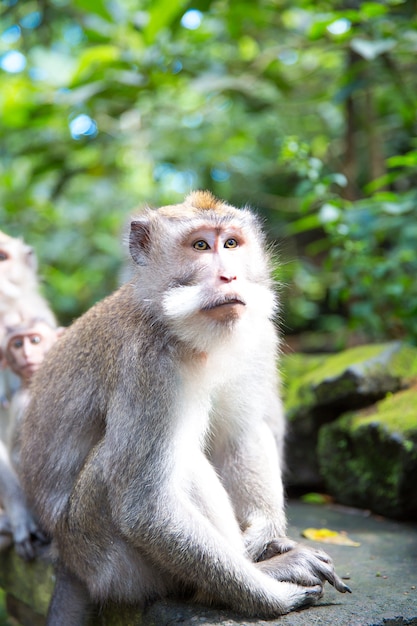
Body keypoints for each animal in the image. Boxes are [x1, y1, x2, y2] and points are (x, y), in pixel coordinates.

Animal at [21, 191, 350, 624]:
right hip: (107, 559)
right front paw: (272, 597)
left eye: (231, 243)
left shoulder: (257, 334)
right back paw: (252, 577)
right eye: (200, 246)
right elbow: (145, 506)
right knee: (177, 463)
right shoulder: (147, 364)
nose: (229, 277)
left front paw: (265, 532)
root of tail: (67, 562)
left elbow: (241, 434)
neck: (187, 332)